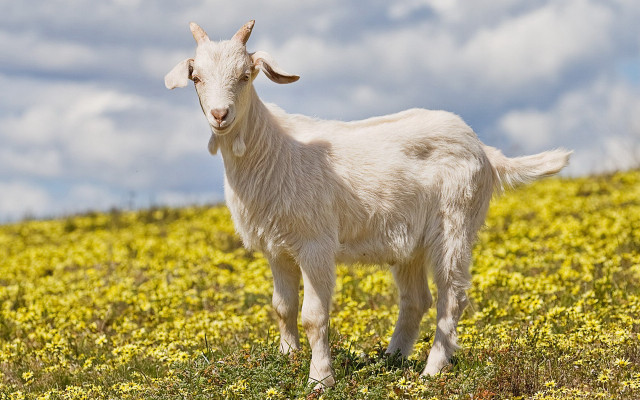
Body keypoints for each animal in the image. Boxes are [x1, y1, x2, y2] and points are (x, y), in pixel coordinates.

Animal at [165, 20, 571, 389]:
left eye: (246, 75)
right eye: (196, 77)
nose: (220, 115)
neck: (274, 150)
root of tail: (485, 151)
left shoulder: (315, 244)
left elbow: (314, 315)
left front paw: (319, 379)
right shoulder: (276, 248)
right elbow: (282, 308)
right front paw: (288, 360)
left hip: (455, 222)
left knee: (452, 296)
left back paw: (432, 370)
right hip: (410, 243)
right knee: (416, 299)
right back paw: (391, 360)